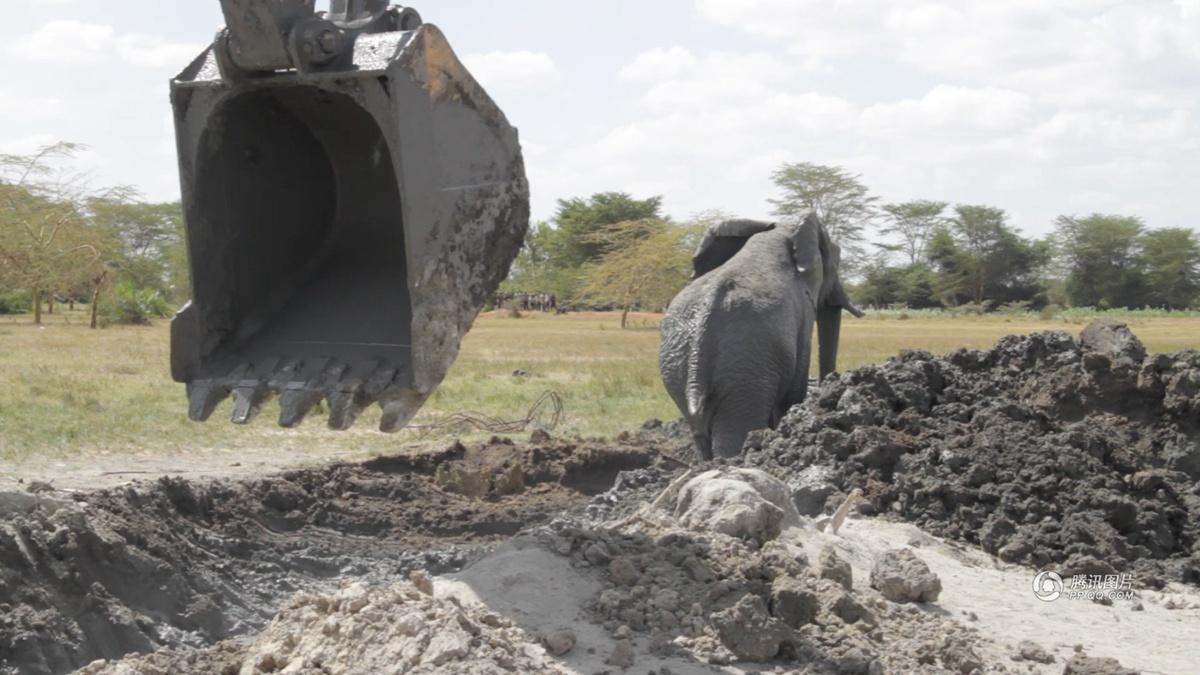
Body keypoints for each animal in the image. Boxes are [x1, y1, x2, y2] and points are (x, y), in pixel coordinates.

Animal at [657, 212, 864, 458]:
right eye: (836, 259)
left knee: (700, 432)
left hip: (679, 365)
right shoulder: (803, 310)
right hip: (746, 368)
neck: (776, 232)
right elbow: (794, 390)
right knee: (737, 428)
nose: (828, 388)